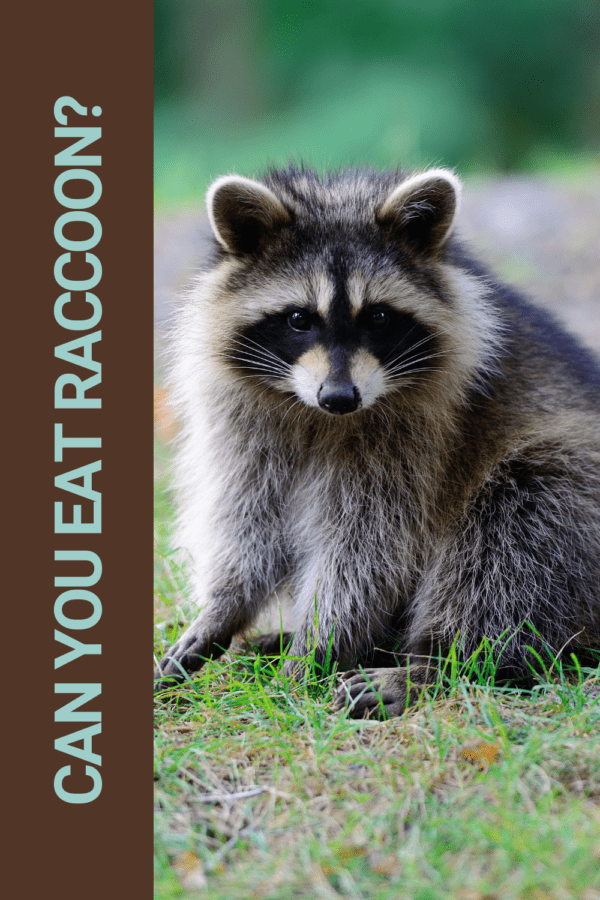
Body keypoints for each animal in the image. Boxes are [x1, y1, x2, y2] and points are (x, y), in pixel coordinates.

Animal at [154, 164, 600, 717]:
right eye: (299, 319)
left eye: (380, 317)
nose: (339, 396)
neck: (318, 417)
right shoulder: (243, 420)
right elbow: (247, 518)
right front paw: (224, 607)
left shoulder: (420, 438)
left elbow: (368, 546)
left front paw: (318, 648)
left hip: (568, 484)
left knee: (516, 536)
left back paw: (436, 667)